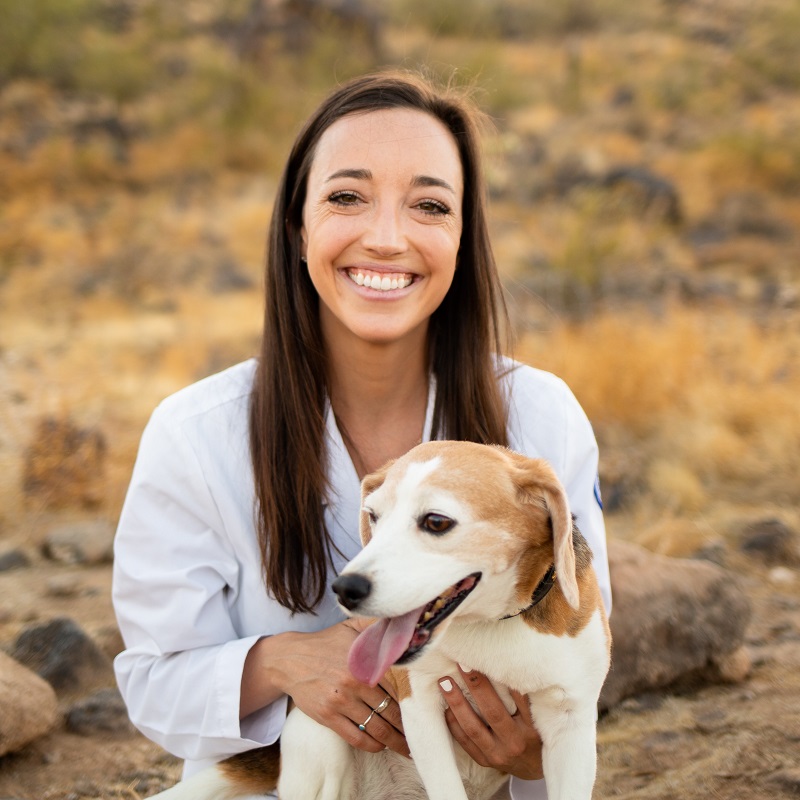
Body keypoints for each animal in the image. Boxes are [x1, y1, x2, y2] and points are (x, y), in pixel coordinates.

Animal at [153, 444, 608, 800]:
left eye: (436, 522)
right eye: (373, 516)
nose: (345, 588)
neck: (492, 623)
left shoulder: (571, 722)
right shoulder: (422, 706)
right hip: (321, 738)